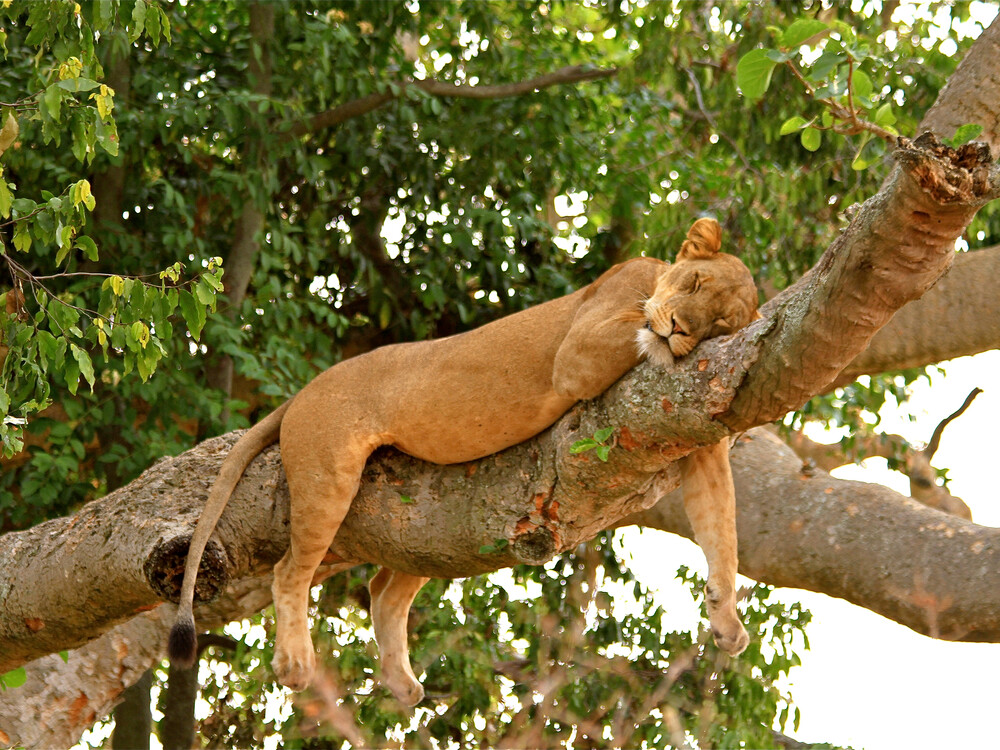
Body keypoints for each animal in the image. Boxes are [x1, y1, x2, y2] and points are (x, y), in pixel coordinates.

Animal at [168, 217, 759, 705]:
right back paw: (295, 662)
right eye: (695, 285)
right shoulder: (579, 350)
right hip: (327, 474)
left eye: (719, 325)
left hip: (428, 529)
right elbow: (629, 335)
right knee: (291, 570)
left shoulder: (698, 435)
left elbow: (723, 530)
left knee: (385, 590)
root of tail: (302, 393)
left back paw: (401, 682)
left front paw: (727, 621)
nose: (679, 328)